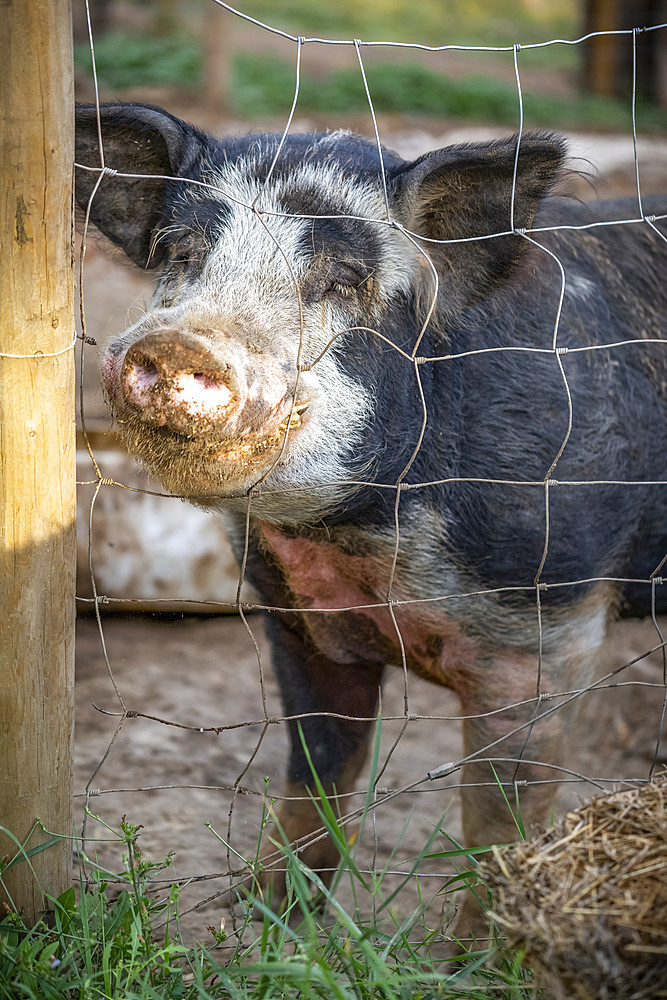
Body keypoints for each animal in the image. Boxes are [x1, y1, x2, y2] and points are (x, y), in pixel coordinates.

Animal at [74, 103, 667, 936]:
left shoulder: (549, 625)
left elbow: (497, 820)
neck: (362, 537)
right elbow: (318, 773)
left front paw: (474, 952)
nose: (177, 341)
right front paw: (270, 921)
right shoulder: (294, 617)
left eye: (343, 280)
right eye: (181, 253)